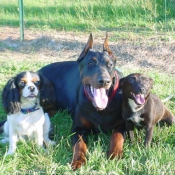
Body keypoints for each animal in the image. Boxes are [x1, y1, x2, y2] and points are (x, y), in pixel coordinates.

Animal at [39, 33, 125, 170]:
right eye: (90, 63)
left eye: (110, 64)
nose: (104, 81)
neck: (100, 109)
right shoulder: (78, 128)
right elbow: (80, 144)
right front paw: (78, 161)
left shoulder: (123, 124)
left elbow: (117, 136)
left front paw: (115, 154)